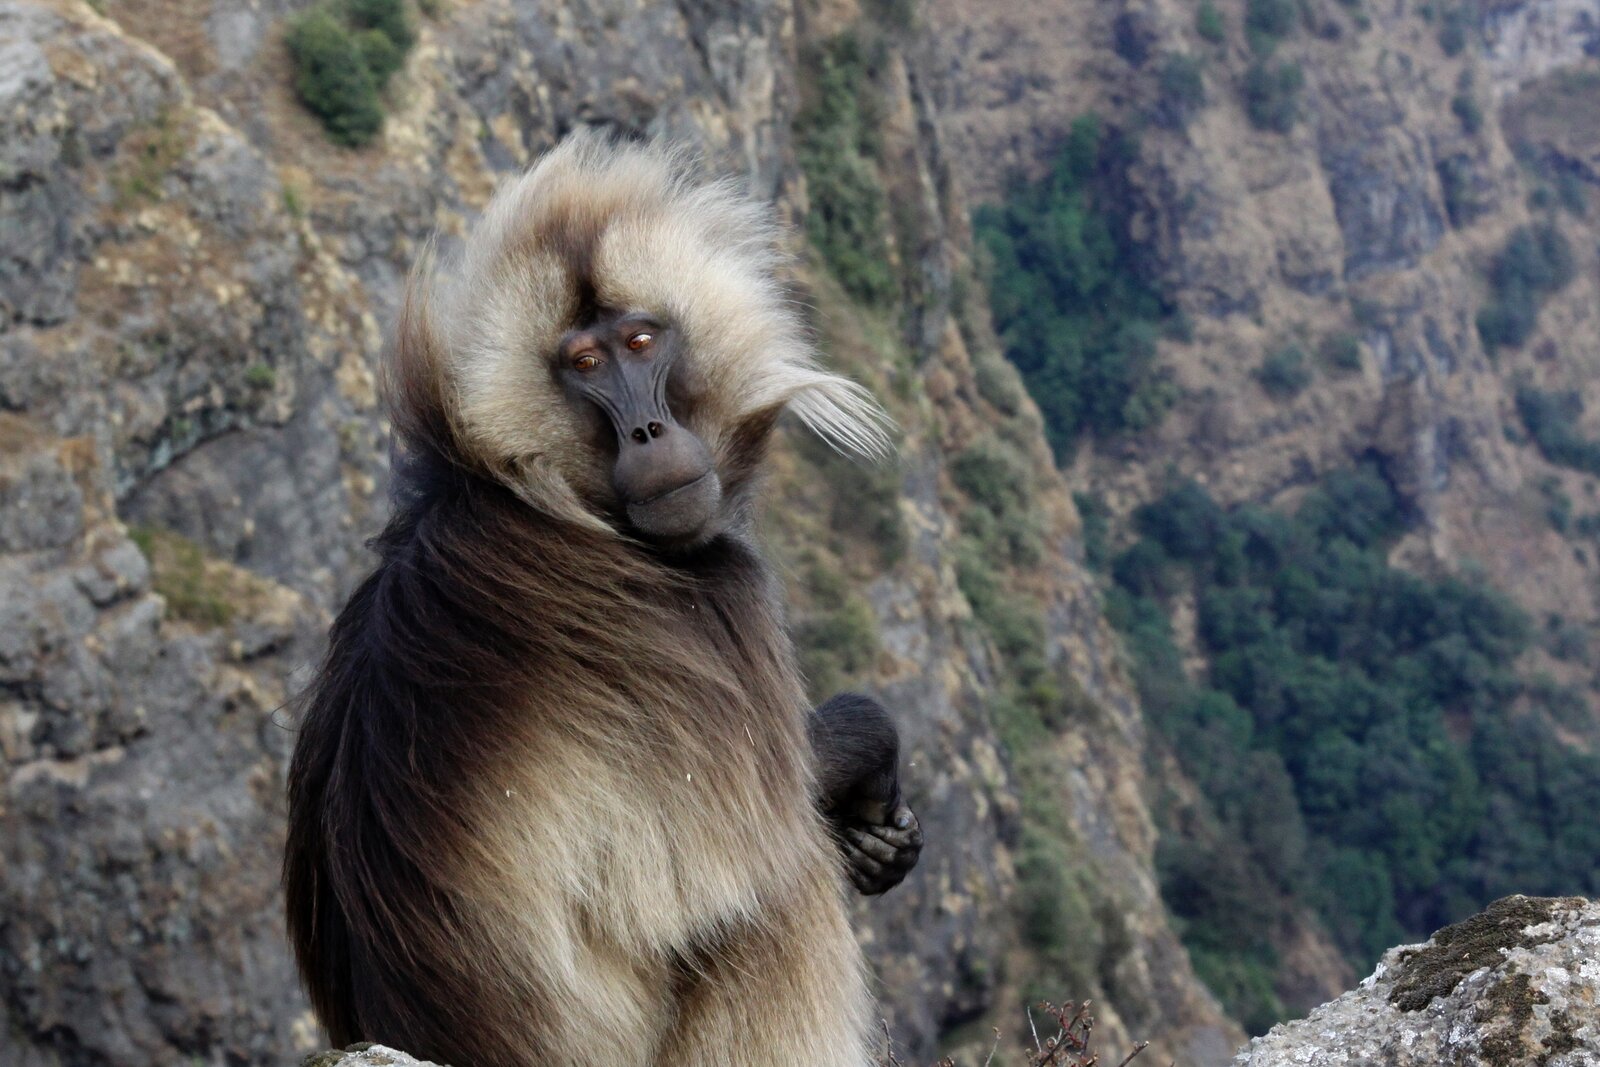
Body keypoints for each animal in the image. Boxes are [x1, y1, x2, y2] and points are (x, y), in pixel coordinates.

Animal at [283, 130, 922, 1067]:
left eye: (642, 340)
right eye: (585, 365)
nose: (648, 433)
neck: (527, 486)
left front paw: (880, 841)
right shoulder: (717, 600)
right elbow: (751, 849)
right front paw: (867, 759)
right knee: (772, 900)